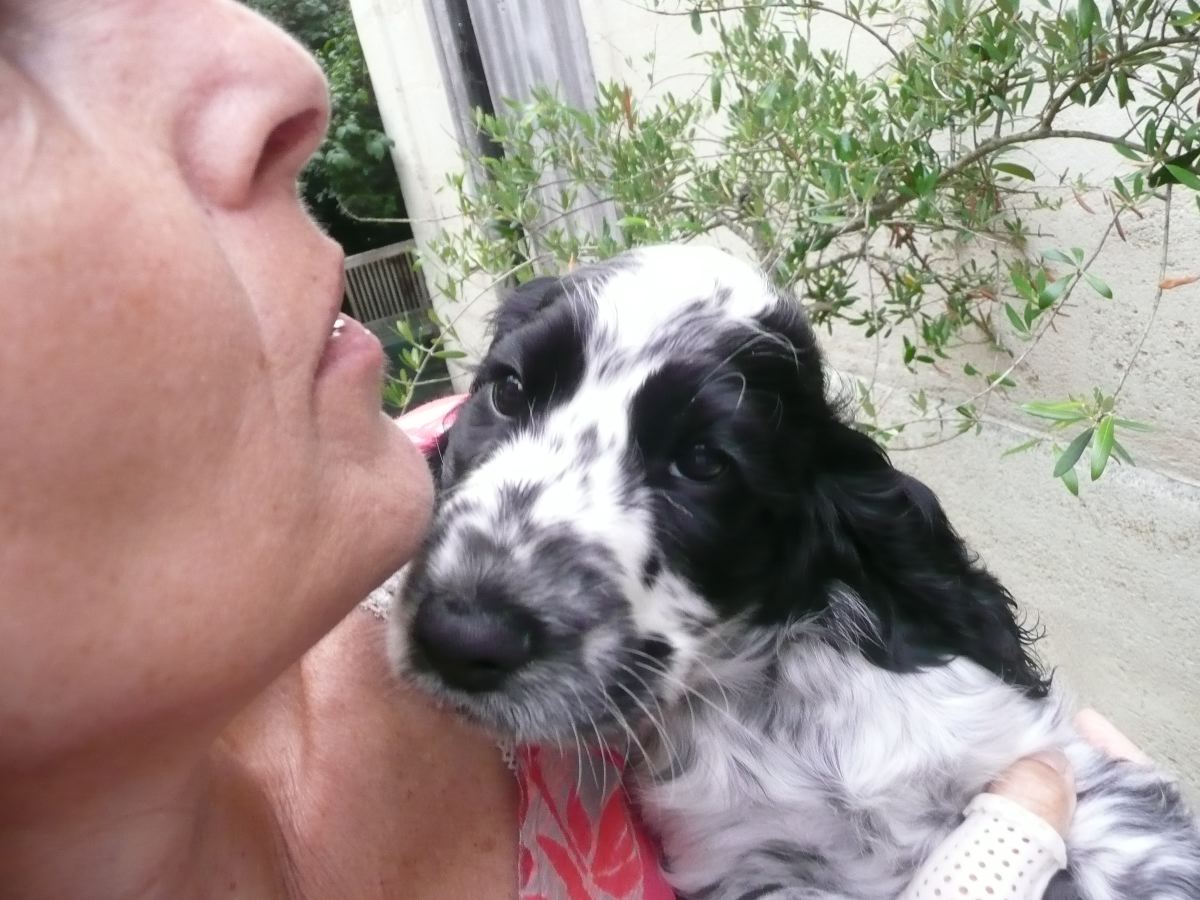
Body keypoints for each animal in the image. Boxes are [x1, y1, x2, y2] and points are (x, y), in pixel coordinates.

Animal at [389, 245, 1200, 899]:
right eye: (507, 391)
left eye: (703, 460)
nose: (462, 635)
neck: (764, 704)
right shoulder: (751, 868)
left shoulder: (1049, 769)